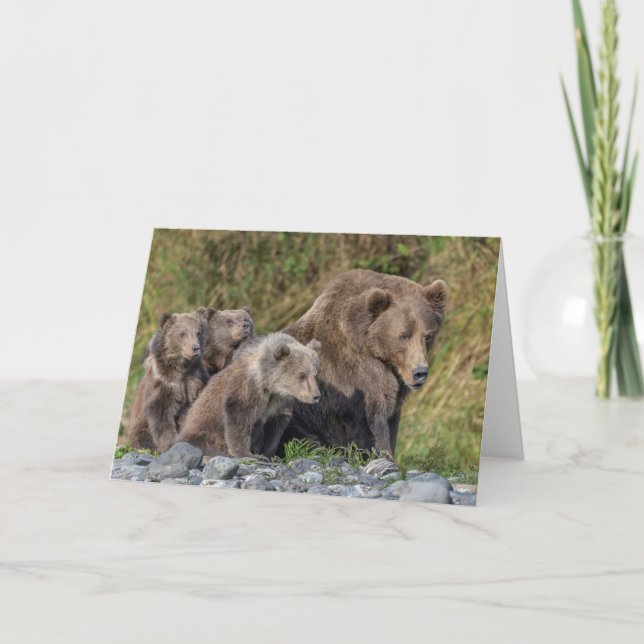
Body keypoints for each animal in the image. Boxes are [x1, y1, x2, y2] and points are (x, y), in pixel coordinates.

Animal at [129, 313, 209, 453]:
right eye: (182, 333)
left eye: (198, 333)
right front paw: (169, 443)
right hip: (139, 430)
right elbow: (160, 411)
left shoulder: (195, 378)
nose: (195, 348)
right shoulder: (164, 383)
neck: (181, 367)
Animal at [175, 333, 322, 458]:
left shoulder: (278, 402)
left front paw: (267, 454)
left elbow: (275, 427)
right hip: (203, 431)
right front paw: (247, 454)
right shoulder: (248, 388)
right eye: (302, 375)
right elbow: (239, 418)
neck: (269, 384)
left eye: (315, 373)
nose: (316, 396)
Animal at [281, 268, 447, 457]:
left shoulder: (395, 389)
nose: (420, 372)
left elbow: (392, 422)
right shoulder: (355, 376)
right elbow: (372, 424)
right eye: (403, 335)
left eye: (428, 335)